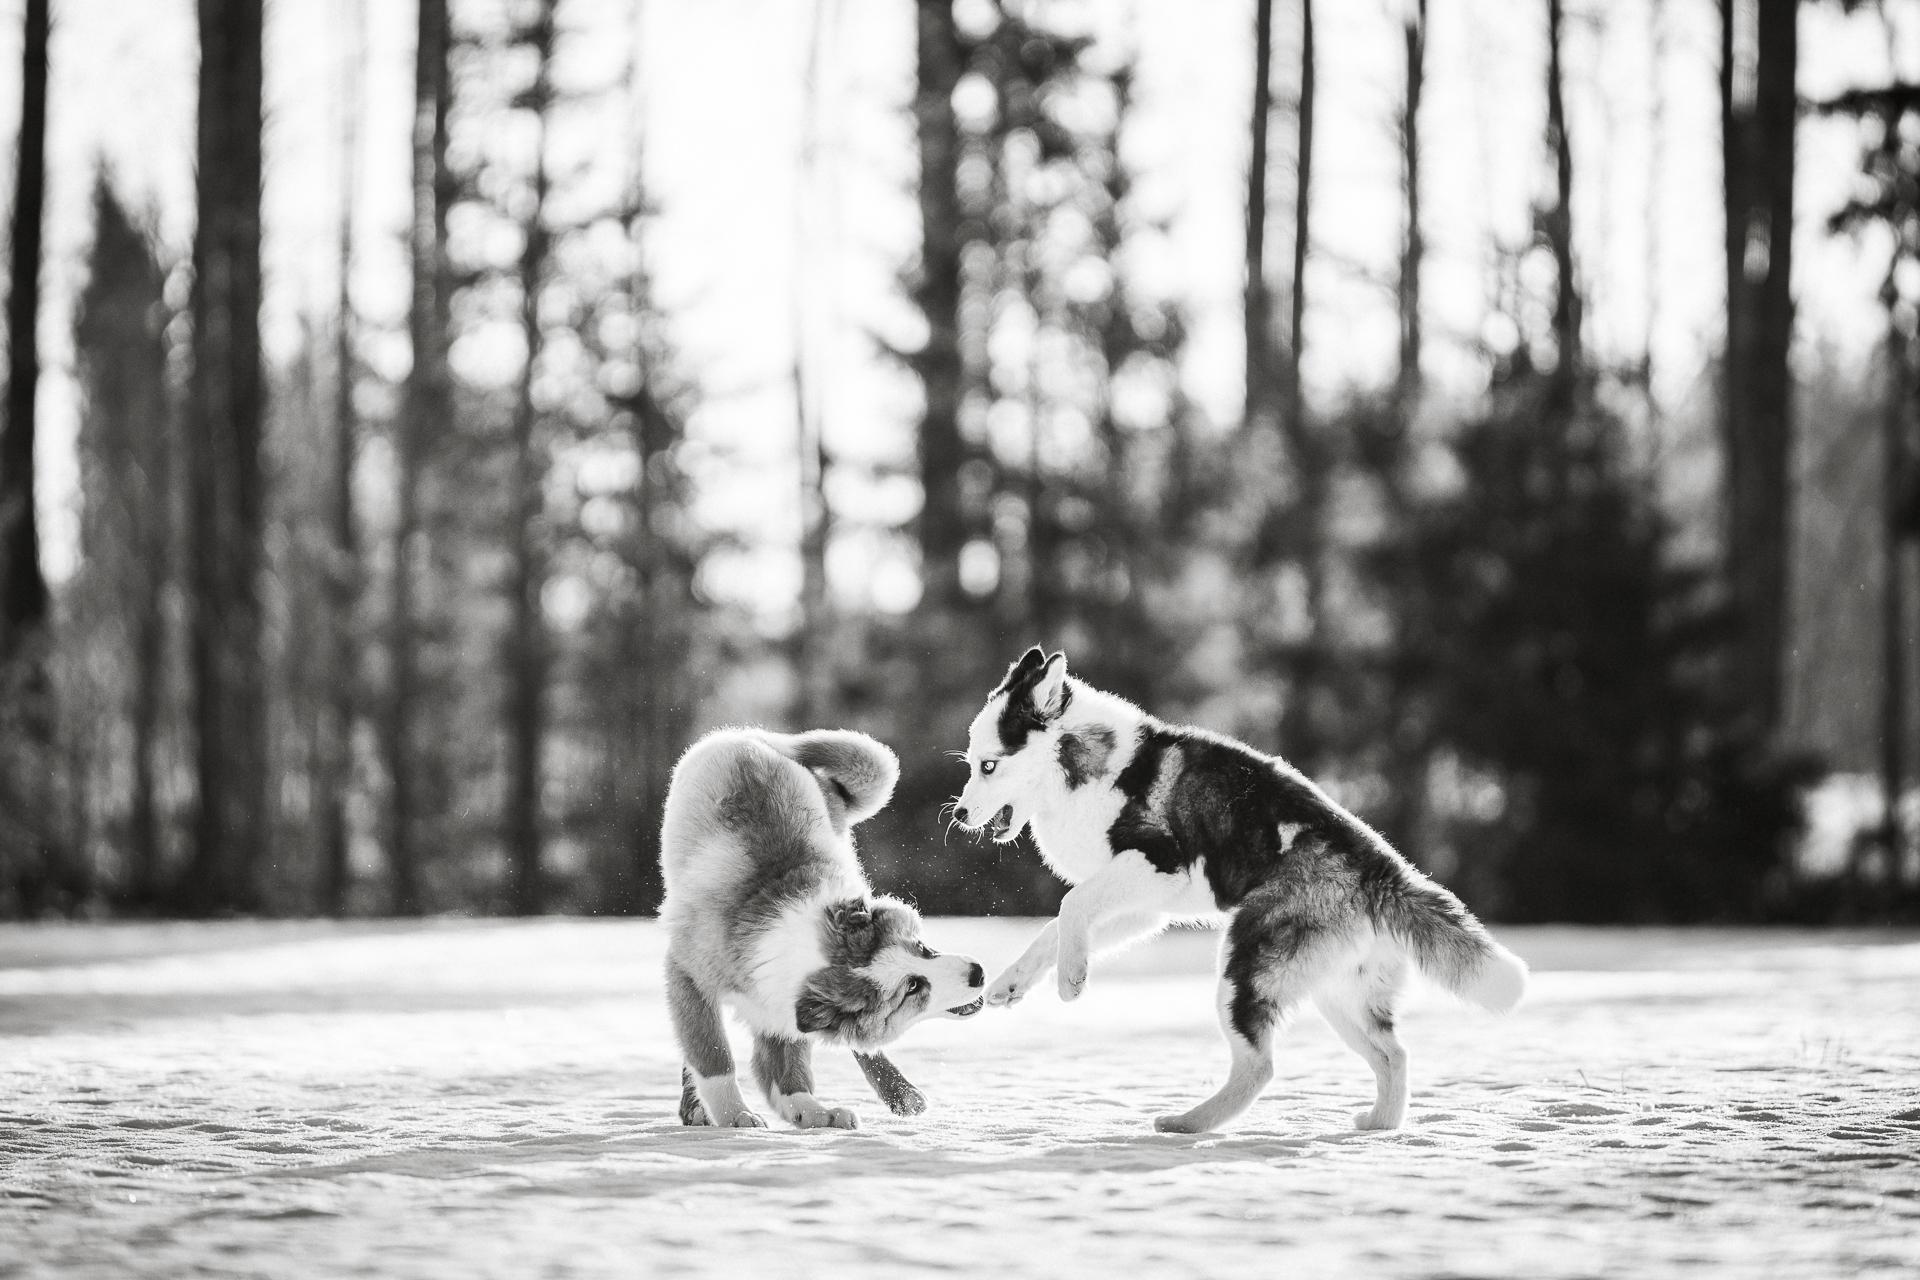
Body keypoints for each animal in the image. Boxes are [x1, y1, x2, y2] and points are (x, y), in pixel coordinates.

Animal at [664, 729, 990, 1128]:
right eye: (913, 987)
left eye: (922, 947)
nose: (978, 973)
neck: (809, 947)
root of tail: (744, 735)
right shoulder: (688, 976)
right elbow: (713, 1056)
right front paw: (735, 1114)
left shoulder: (780, 1009)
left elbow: (788, 1073)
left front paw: (812, 1111)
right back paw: (696, 1108)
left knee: (859, 1046)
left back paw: (901, 1094)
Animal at [948, 656, 1528, 1136]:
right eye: (973, 763)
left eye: (989, 765)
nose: (959, 814)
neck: (1086, 767)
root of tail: (1383, 871)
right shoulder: (1145, 905)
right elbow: (1057, 926)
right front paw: (1014, 983)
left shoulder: (1158, 866)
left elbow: (1070, 908)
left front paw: (1071, 981)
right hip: (1337, 995)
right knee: (1394, 1056)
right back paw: (1379, 1125)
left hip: (1244, 967)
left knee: (1261, 1066)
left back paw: (1187, 1123)